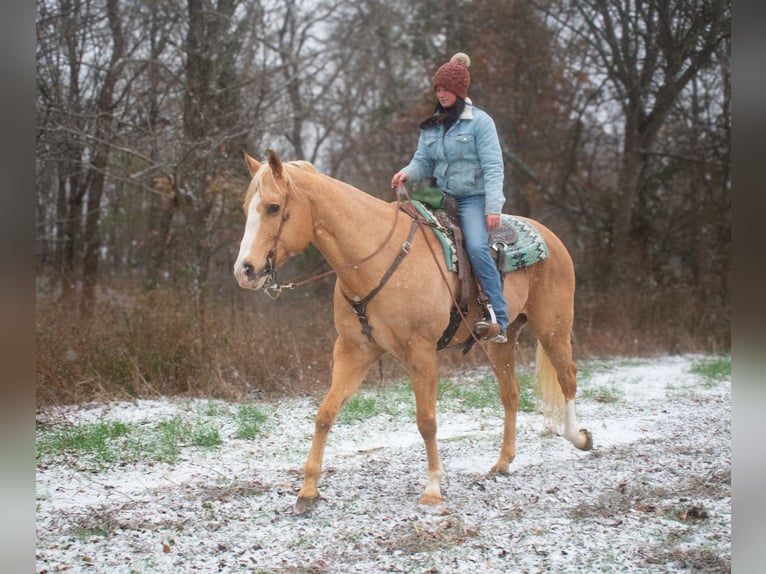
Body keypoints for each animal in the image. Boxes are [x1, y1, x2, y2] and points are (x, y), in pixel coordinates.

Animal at [234, 151, 592, 516]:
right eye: (247, 208)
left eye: (274, 207)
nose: (244, 271)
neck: (376, 260)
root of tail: (550, 236)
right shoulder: (352, 352)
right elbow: (325, 413)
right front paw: (307, 490)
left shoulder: (420, 352)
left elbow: (426, 420)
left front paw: (432, 488)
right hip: (499, 343)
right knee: (511, 394)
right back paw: (503, 462)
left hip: (553, 328)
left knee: (567, 376)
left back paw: (578, 437)